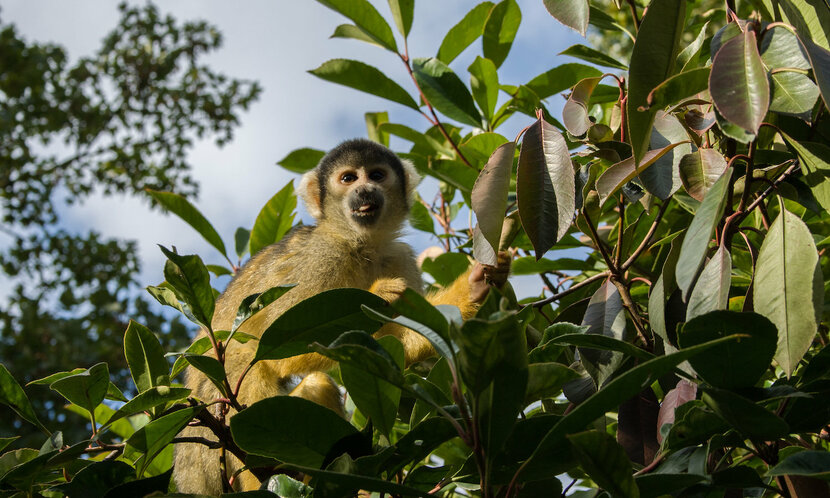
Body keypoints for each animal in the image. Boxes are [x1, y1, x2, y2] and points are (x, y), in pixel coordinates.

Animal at [175, 138, 510, 492]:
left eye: (376, 175)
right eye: (348, 178)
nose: (364, 190)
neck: (357, 243)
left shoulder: (400, 258)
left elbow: (396, 346)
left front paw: (476, 286)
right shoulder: (320, 258)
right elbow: (280, 346)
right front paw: (380, 294)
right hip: (217, 429)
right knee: (249, 361)